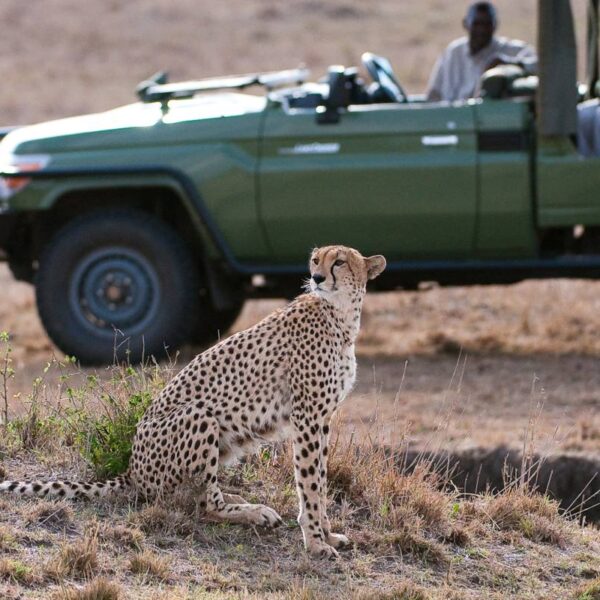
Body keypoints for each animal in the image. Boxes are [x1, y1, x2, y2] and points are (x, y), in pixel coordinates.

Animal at [0, 244, 386, 556]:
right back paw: (253, 511)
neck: (340, 315)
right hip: (200, 414)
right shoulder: (307, 418)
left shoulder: (322, 419)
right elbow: (310, 482)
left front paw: (327, 535)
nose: (317, 277)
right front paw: (316, 543)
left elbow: (319, 477)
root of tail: (132, 470)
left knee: (201, 492)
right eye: (315, 260)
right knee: (204, 505)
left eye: (339, 262)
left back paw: (237, 498)